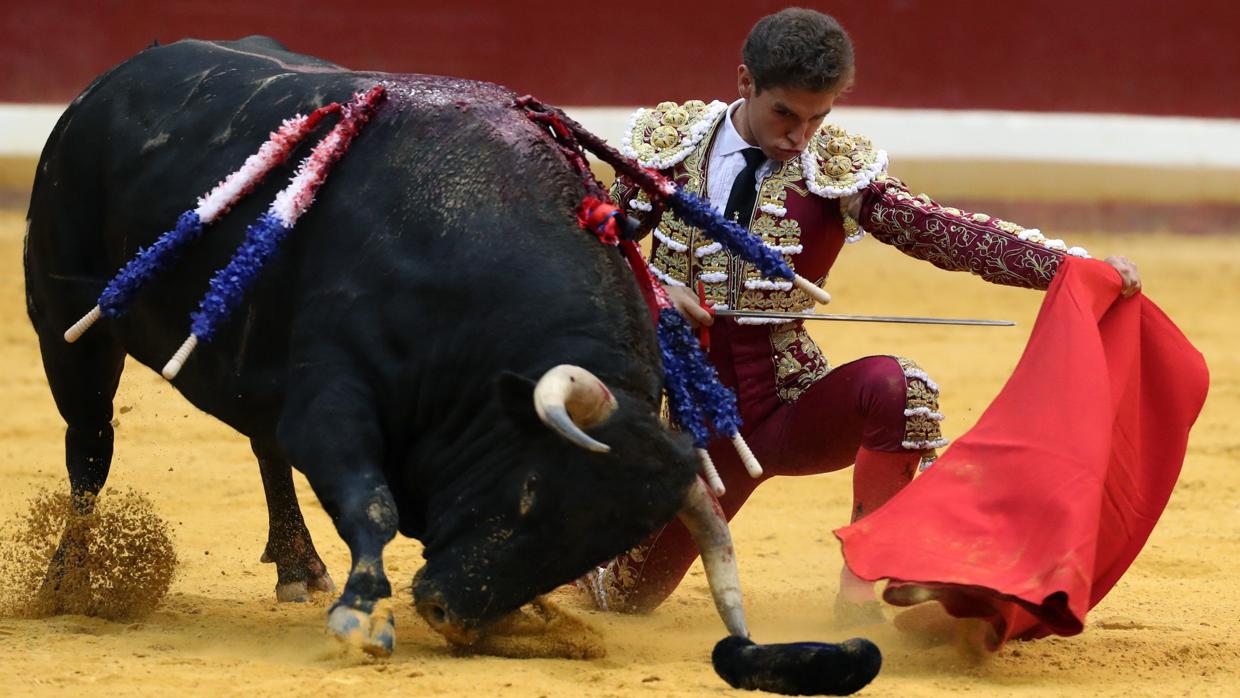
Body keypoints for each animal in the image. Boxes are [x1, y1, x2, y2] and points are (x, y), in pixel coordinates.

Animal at [26, 36, 709, 649]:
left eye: (602, 545)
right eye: (532, 493)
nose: (452, 612)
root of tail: (102, 86)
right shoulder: (331, 398)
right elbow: (370, 501)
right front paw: (361, 613)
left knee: (263, 442)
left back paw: (299, 568)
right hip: (67, 326)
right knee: (90, 447)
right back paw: (68, 587)